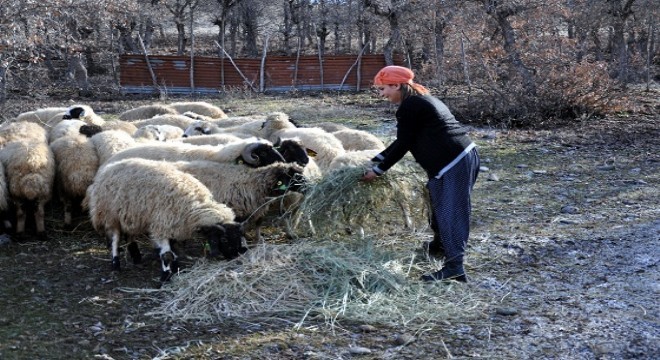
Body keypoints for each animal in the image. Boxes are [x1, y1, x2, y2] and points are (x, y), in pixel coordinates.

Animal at [85, 158, 245, 282]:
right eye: (224, 239)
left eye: (239, 237)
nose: (237, 255)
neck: (193, 207)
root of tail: (108, 168)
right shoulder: (162, 224)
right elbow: (167, 255)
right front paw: (165, 277)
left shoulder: (173, 225)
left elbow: (173, 251)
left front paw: (175, 268)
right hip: (110, 215)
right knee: (115, 239)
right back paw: (115, 264)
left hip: (131, 215)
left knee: (130, 236)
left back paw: (136, 258)